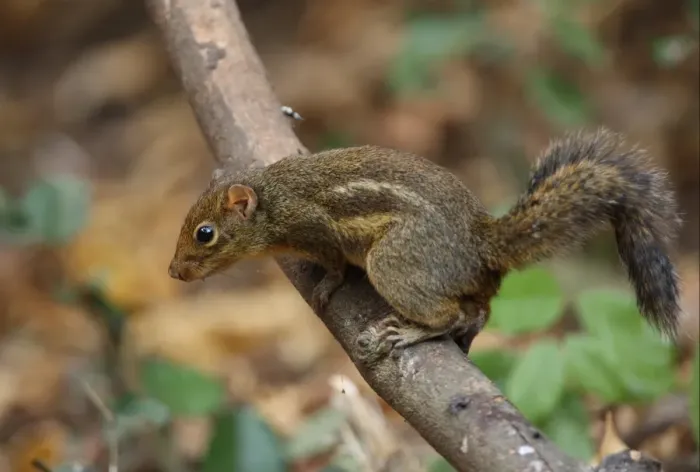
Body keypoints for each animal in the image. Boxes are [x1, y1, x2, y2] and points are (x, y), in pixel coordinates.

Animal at [168, 128, 681, 355]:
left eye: (205, 233)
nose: (174, 271)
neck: (275, 199)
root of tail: (481, 243)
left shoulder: (317, 227)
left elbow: (334, 264)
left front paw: (326, 286)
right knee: (480, 310)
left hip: (394, 263)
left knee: (450, 312)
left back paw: (413, 331)